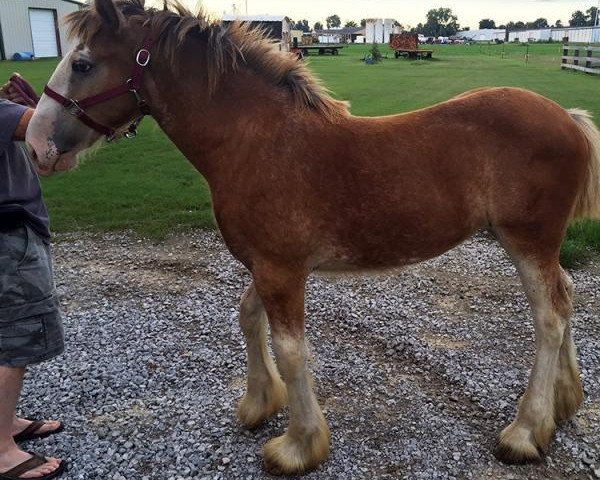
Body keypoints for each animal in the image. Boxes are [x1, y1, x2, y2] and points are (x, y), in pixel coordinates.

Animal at [25, 0, 600, 472]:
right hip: (541, 247)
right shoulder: (266, 265)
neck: (256, 141)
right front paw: (258, 403)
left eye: (82, 64)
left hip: (526, 242)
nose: (35, 144)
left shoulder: (282, 270)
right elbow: (248, 318)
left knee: (549, 319)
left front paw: (298, 446)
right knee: (567, 298)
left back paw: (525, 432)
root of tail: (567, 118)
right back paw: (565, 402)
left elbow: (290, 350)